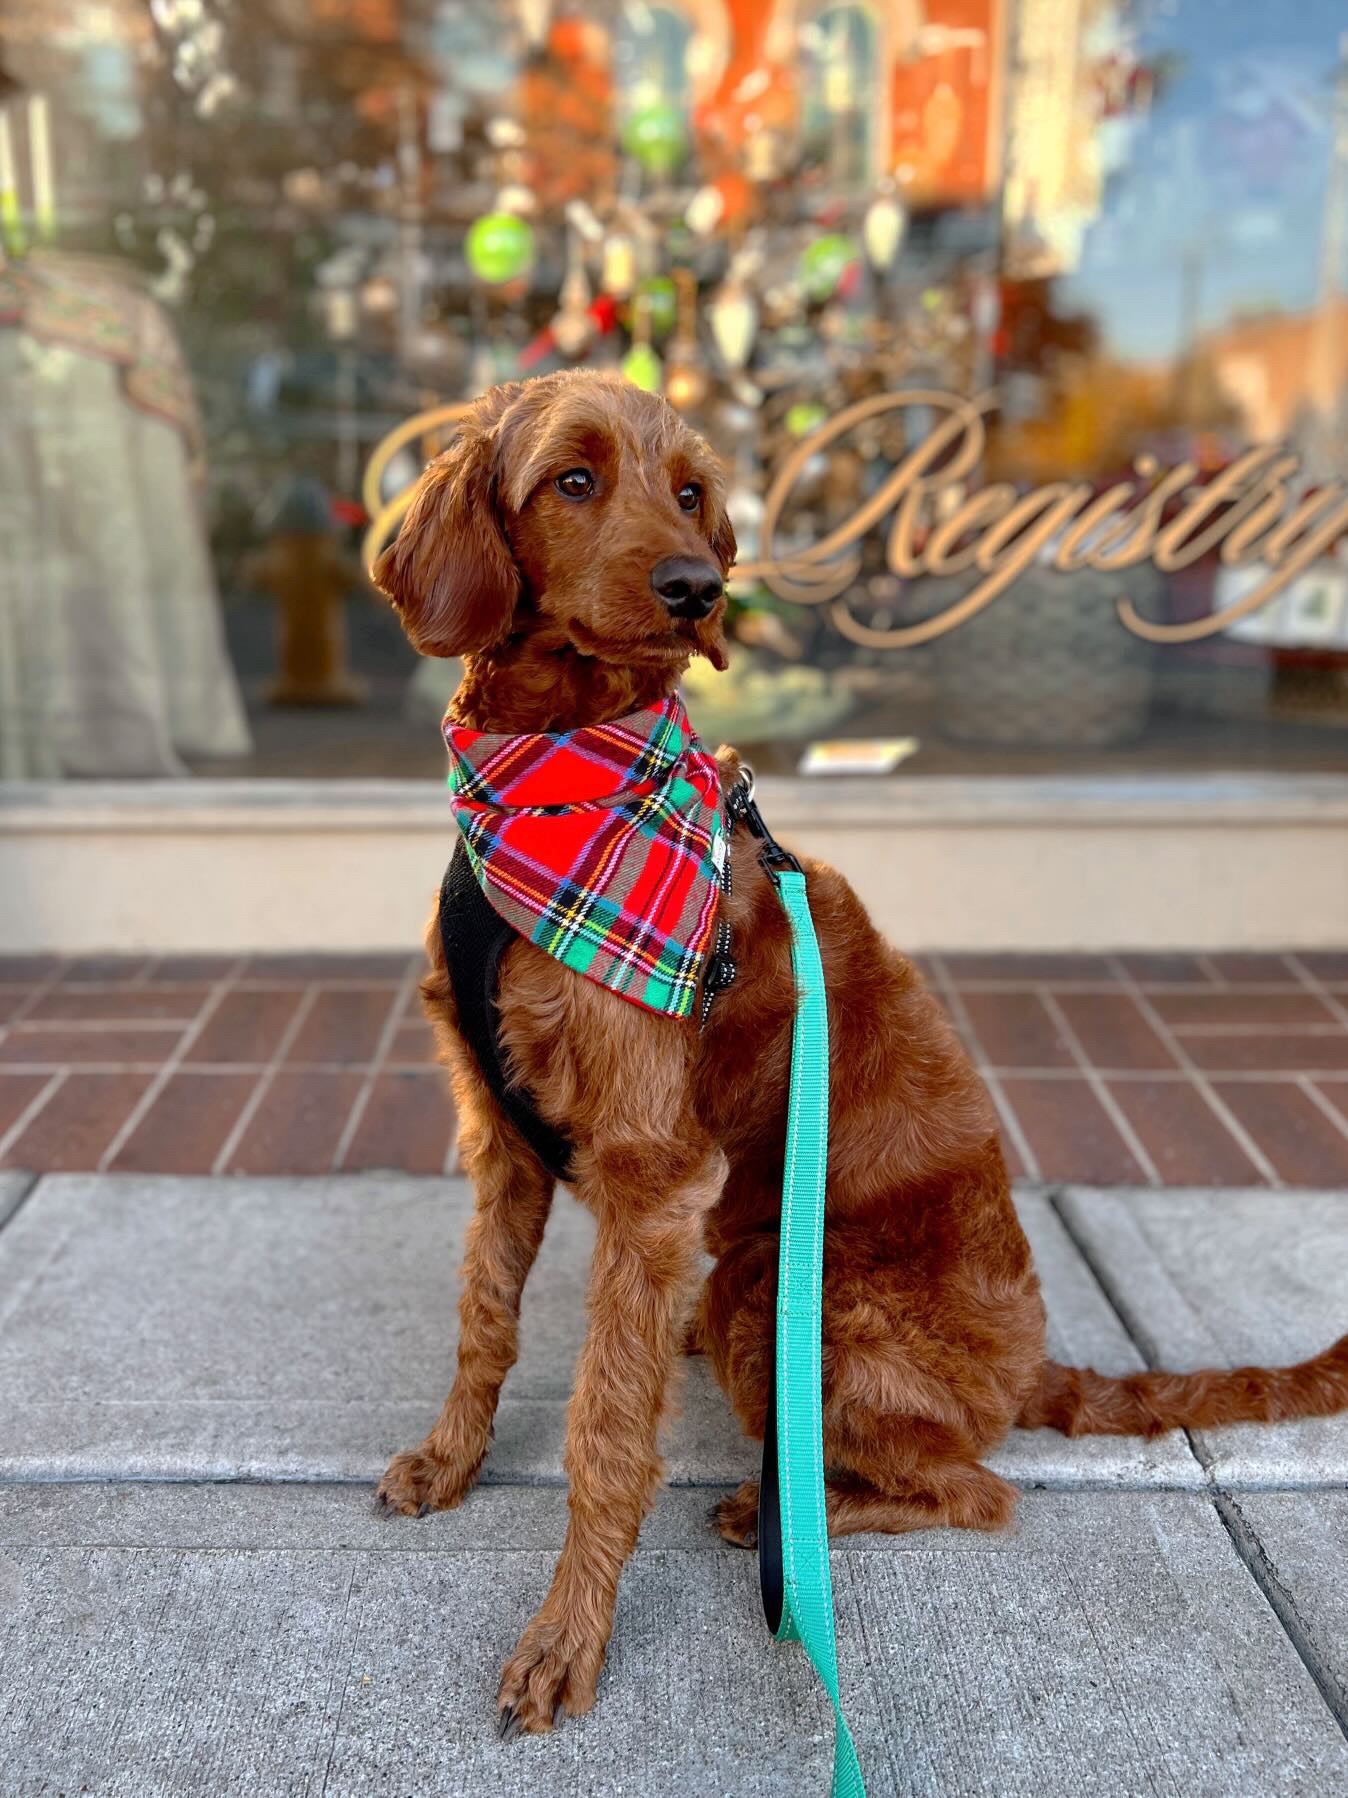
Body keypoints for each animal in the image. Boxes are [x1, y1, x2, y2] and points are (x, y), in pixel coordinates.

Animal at [372, 368, 1348, 1740]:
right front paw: (451, 1459)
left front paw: (567, 1638)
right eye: (572, 478)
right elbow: (484, 1321)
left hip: (771, 1286)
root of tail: (1030, 1368)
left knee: (977, 1489)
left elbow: (605, 1430)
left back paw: (779, 1508)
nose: (696, 588)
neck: (552, 776)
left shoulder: (647, 1169)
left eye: (692, 493)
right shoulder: (500, 1129)